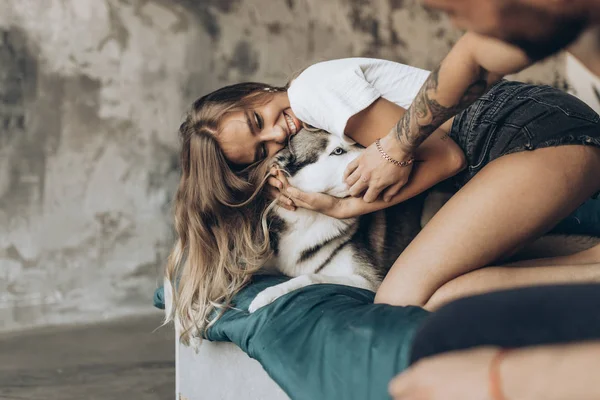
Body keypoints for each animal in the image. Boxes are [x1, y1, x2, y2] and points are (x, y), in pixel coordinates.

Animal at [248, 130, 426, 314]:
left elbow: (310, 277)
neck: (309, 219)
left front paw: (268, 293)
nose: (411, 160)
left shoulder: (368, 281)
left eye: (356, 142)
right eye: (338, 151)